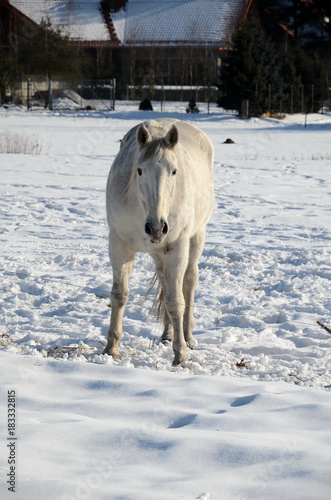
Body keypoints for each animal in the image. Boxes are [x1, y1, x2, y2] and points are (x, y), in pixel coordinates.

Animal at [105, 119, 217, 366]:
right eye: (139, 170)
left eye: (174, 171)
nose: (156, 227)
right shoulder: (118, 244)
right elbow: (119, 295)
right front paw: (111, 349)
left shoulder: (177, 248)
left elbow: (176, 302)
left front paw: (180, 356)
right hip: (159, 252)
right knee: (166, 284)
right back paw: (167, 334)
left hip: (195, 239)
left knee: (189, 282)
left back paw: (188, 336)